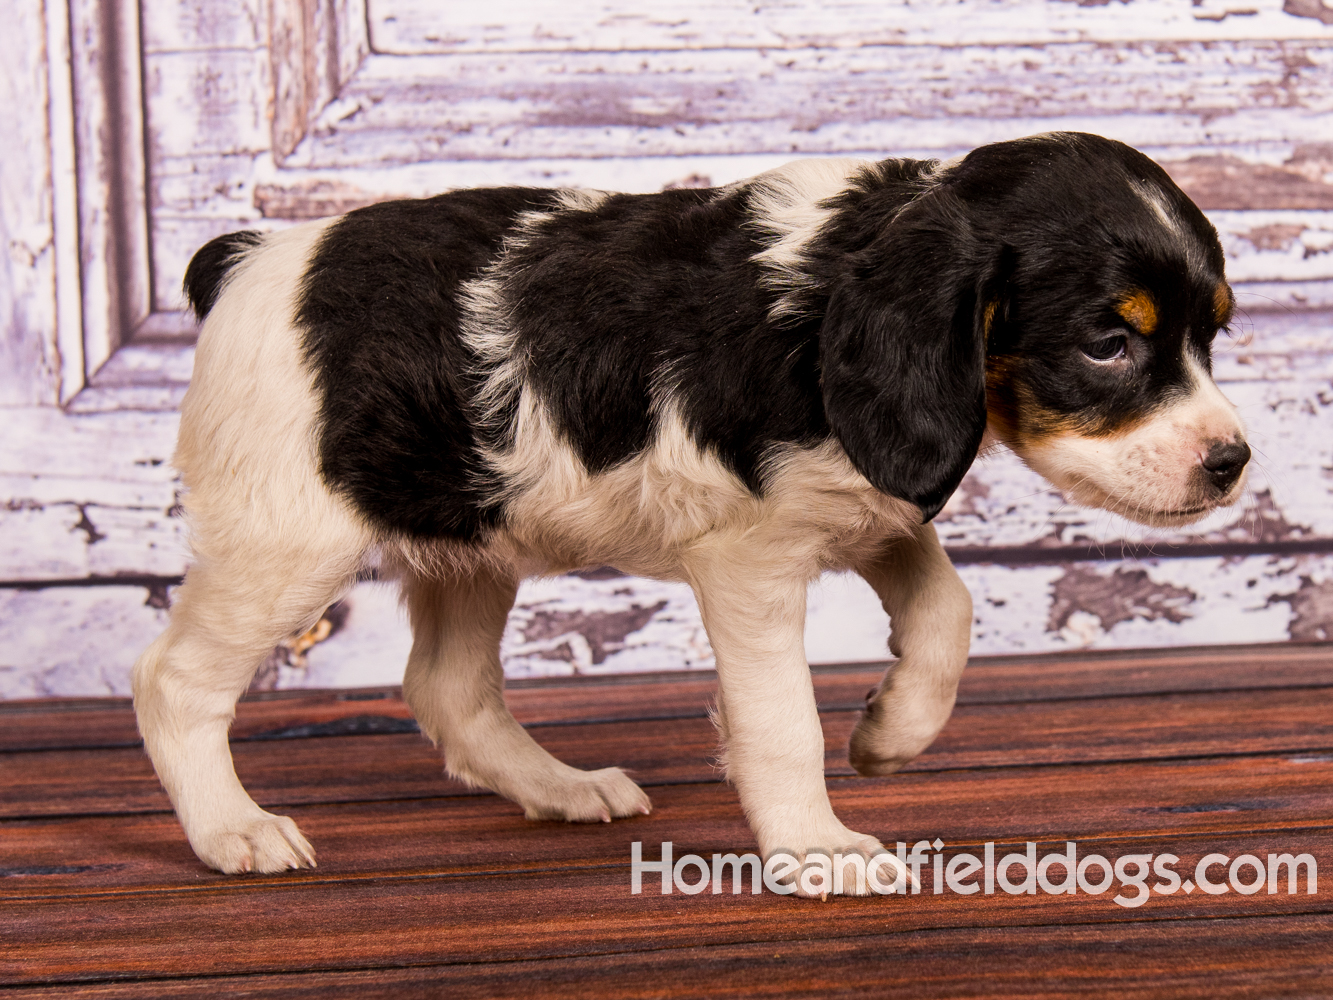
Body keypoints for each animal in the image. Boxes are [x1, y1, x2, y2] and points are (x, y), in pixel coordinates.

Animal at [132, 131, 1247, 890]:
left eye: (1213, 334)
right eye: (1107, 343)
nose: (1231, 463)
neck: (834, 277)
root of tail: (247, 256)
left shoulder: (866, 505)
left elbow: (947, 612)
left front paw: (891, 733)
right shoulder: (750, 564)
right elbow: (781, 717)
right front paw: (815, 849)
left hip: (472, 533)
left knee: (447, 687)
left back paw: (561, 789)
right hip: (287, 543)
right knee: (172, 680)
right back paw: (232, 829)